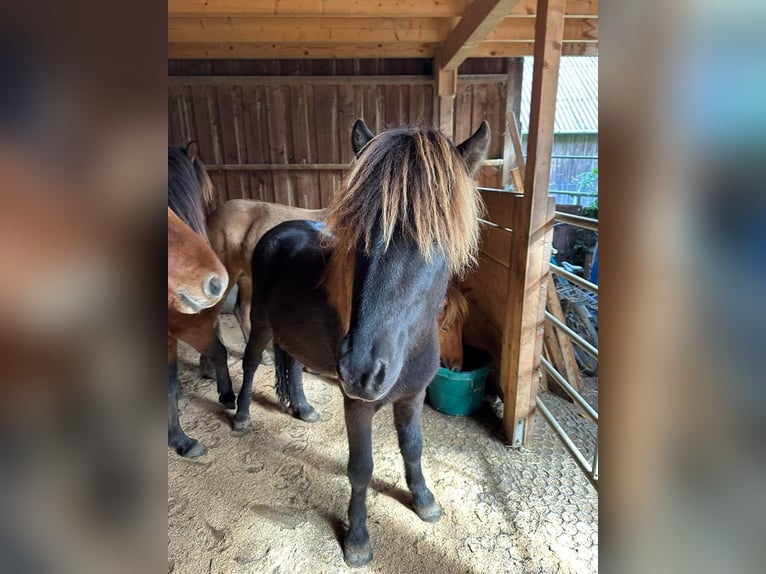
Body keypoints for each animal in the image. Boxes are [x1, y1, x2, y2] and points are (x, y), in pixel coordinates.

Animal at [234, 119, 490, 566]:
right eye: (359, 236)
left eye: (437, 240)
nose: (360, 372)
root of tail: (278, 230)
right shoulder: (358, 406)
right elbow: (361, 468)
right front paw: (357, 539)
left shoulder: (412, 398)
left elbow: (413, 448)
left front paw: (425, 501)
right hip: (261, 321)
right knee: (251, 362)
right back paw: (242, 416)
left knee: (293, 363)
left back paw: (303, 408)